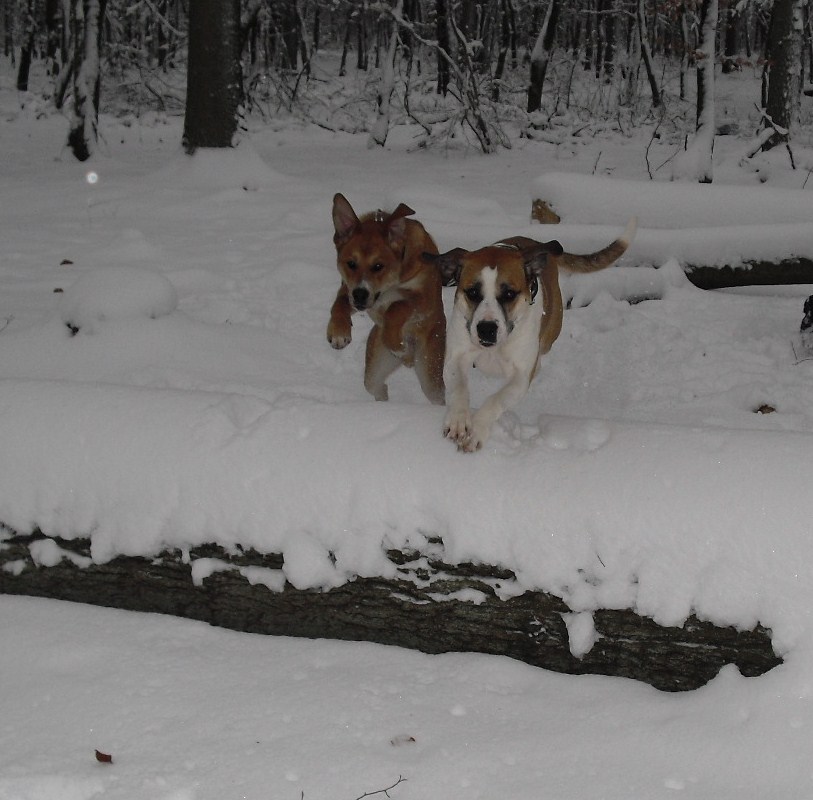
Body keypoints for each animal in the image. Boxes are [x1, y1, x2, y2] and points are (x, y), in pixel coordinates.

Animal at [326, 194, 448, 406]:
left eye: (378, 266)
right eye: (351, 263)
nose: (360, 294)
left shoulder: (425, 299)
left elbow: (397, 307)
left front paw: (396, 344)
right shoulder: (349, 289)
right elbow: (339, 304)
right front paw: (339, 332)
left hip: (430, 363)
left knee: (435, 393)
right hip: (377, 360)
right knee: (376, 385)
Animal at [426, 219, 636, 454]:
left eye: (509, 294)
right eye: (472, 292)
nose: (486, 328)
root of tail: (536, 243)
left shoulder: (520, 377)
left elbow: (495, 400)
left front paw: (477, 430)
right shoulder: (455, 357)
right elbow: (459, 388)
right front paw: (458, 421)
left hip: (551, 332)